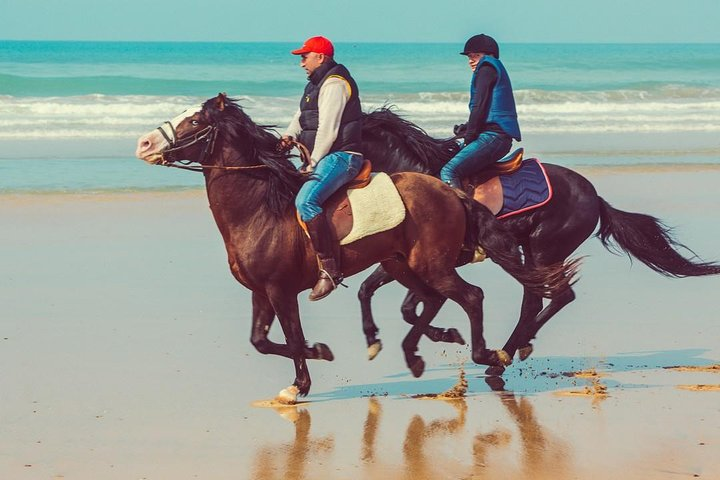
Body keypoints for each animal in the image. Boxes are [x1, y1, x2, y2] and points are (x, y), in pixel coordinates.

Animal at [134, 94, 572, 402]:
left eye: (195, 120)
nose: (143, 142)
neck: (260, 210)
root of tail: (450, 190)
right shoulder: (261, 291)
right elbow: (261, 341)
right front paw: (320, 355)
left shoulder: (280, 290)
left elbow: (293, 337)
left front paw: (302, 381)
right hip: (404, 265)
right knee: (434, 300)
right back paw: (422, 353)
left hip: (431, 265)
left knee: (472, 296)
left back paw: (492, 357)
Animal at [354, 107, 720, 374]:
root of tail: (596, 198)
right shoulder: (412, 261)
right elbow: (391, 299)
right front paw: (440, 335)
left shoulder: (433, 261)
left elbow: (409, 302)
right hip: (533, 251)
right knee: (540, 299)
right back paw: (514, 348)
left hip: (544, 249)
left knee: (552, 297)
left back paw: (505, 355)